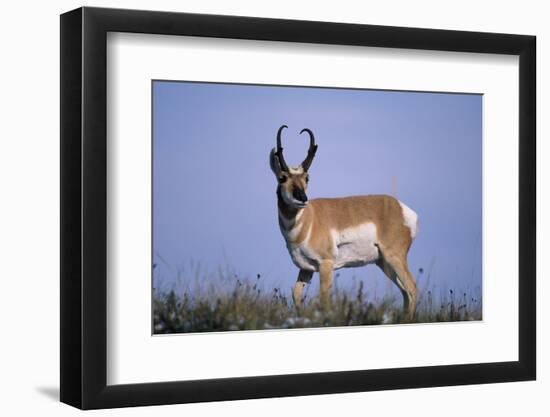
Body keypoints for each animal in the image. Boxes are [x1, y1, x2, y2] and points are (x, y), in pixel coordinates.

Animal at [272, 125, 422, 316]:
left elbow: (324, 299)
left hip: (394, 257)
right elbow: (296, 293)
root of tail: (402, 208)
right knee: (405, 292)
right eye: (282, 177)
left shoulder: (326, 264)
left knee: (412, 288)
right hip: (384, 263)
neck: (308, 220)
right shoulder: (306, 268)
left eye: (307, 178)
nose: (303, 198)